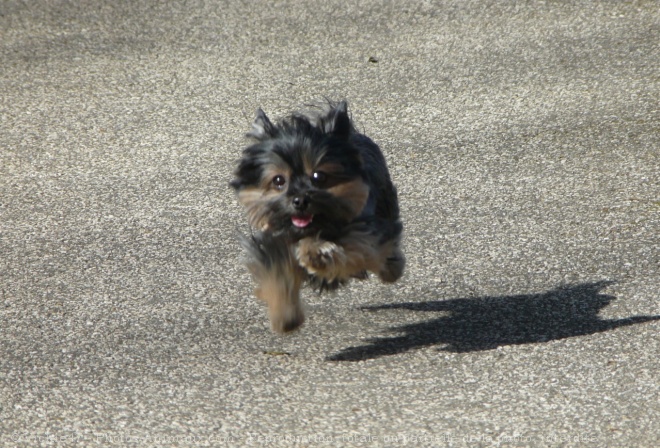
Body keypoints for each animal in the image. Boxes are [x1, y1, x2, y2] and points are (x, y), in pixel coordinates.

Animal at [232, 101, 408, 332]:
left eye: (318, 176)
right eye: (278, 180)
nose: (299, 200)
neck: (311, 229)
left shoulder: (363, 229)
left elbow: (354, 245)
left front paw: (316, 254)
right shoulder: (275, 243)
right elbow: (278, 274)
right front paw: (285, 318)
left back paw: (392, 267)